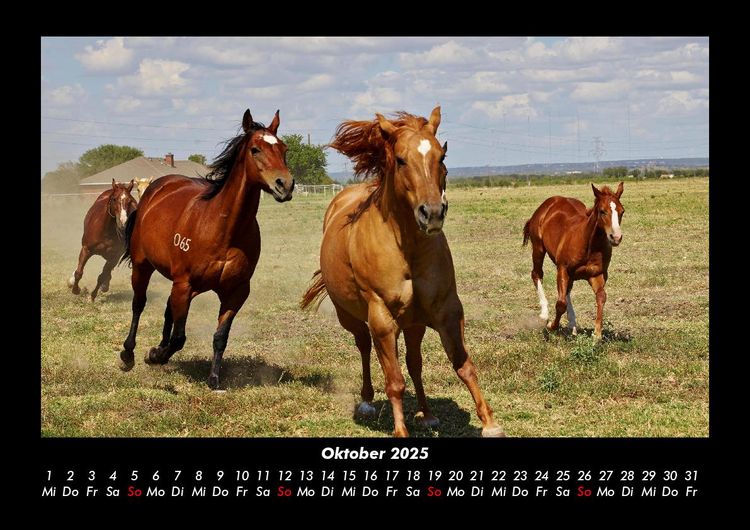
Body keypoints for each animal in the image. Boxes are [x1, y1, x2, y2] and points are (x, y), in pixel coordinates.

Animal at [118, 108, 295, 389]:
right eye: (255, 149)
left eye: (284, 148)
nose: (285, 185)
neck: (223, 230)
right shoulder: (184, 284)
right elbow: (179, 337)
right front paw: (155, 355)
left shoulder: (235, 292)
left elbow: (220, 336)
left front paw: (213, 379)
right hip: (143, 267)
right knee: (139, 304)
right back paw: (129, 354)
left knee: (168, 309)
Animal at [301, 107, 504, 438]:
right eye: (400, 159)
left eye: (441, 156)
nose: (432, 213)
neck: (407, 248)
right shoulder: (382, 319)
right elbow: (394, 381)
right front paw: (400, 431)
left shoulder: (447, 310)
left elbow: (463, 365)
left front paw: (489, 422)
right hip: (353, 318)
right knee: (364, 347)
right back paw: (367, 402)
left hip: (414, 323)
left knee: (414, 362)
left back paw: (426, 413)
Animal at [522, 182, 625, 341]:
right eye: (602, 211)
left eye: (622, 211)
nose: (616, 237)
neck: (589, 245)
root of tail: (547, 204)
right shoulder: (562, 268)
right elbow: (560, 303)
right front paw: (551, 325)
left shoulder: (597, 274)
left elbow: (601, 297)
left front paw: (597, 334)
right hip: (538, 248)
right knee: (536, 274)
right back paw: (544, 314)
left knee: (567, 290)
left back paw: (572, 324)